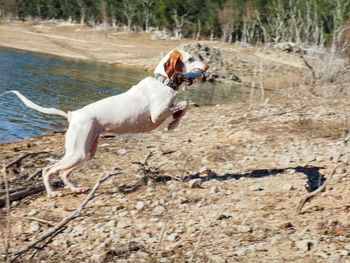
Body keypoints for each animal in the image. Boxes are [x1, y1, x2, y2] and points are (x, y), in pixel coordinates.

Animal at [6, 50, 208, 198]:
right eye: (190, 59)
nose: (207, 66)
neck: (163, 82)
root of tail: (73, 114)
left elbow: (183, 106)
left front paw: (175, 122)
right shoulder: (157, 115)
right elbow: (184, 104)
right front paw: (174, 123)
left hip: (86, 153)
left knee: (63, 173)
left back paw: (75, 189)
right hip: (77, 154)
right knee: (48, 170)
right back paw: (52, 192)